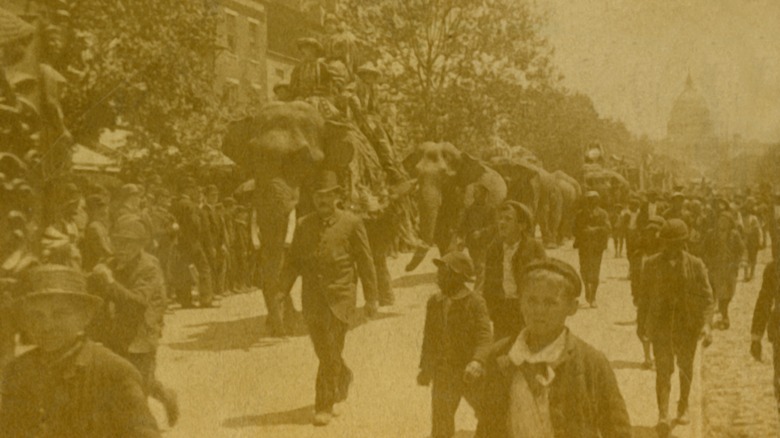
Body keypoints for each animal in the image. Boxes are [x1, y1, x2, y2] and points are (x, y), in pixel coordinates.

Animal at [402, 142, 506, 270]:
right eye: (416, 172)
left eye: (444, 175)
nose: (405, 267)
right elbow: (441, 235)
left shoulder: (465, 194)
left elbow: (452, 233)